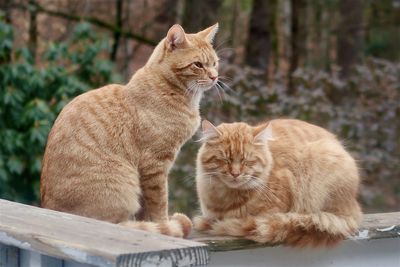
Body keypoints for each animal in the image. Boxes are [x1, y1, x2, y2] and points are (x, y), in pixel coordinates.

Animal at [41, 23, 219, 239]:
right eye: (198, 65)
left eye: (215, 63)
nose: (215, 77)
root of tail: (49, 207)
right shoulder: (155, 165)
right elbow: (159, 202)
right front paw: (163, 225)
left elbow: (147, 208)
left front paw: (152, 223)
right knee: (114, 222)